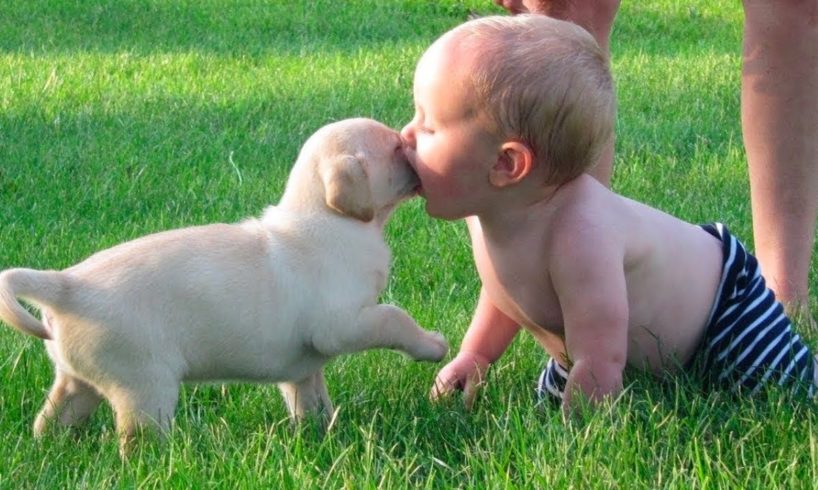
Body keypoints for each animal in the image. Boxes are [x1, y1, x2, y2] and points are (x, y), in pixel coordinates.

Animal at [0, 117, 446, 456]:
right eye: (395, 146)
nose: (413, 144)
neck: (324, 215)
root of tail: (67, 285)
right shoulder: (342, 325)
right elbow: (394, 318)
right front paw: (432, 345)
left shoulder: (304, 367)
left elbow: (310, 398)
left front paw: (321, 434)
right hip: (145, 385)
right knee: (137, 440)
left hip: (78, 381)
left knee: (53, 419)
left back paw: (50, 450)